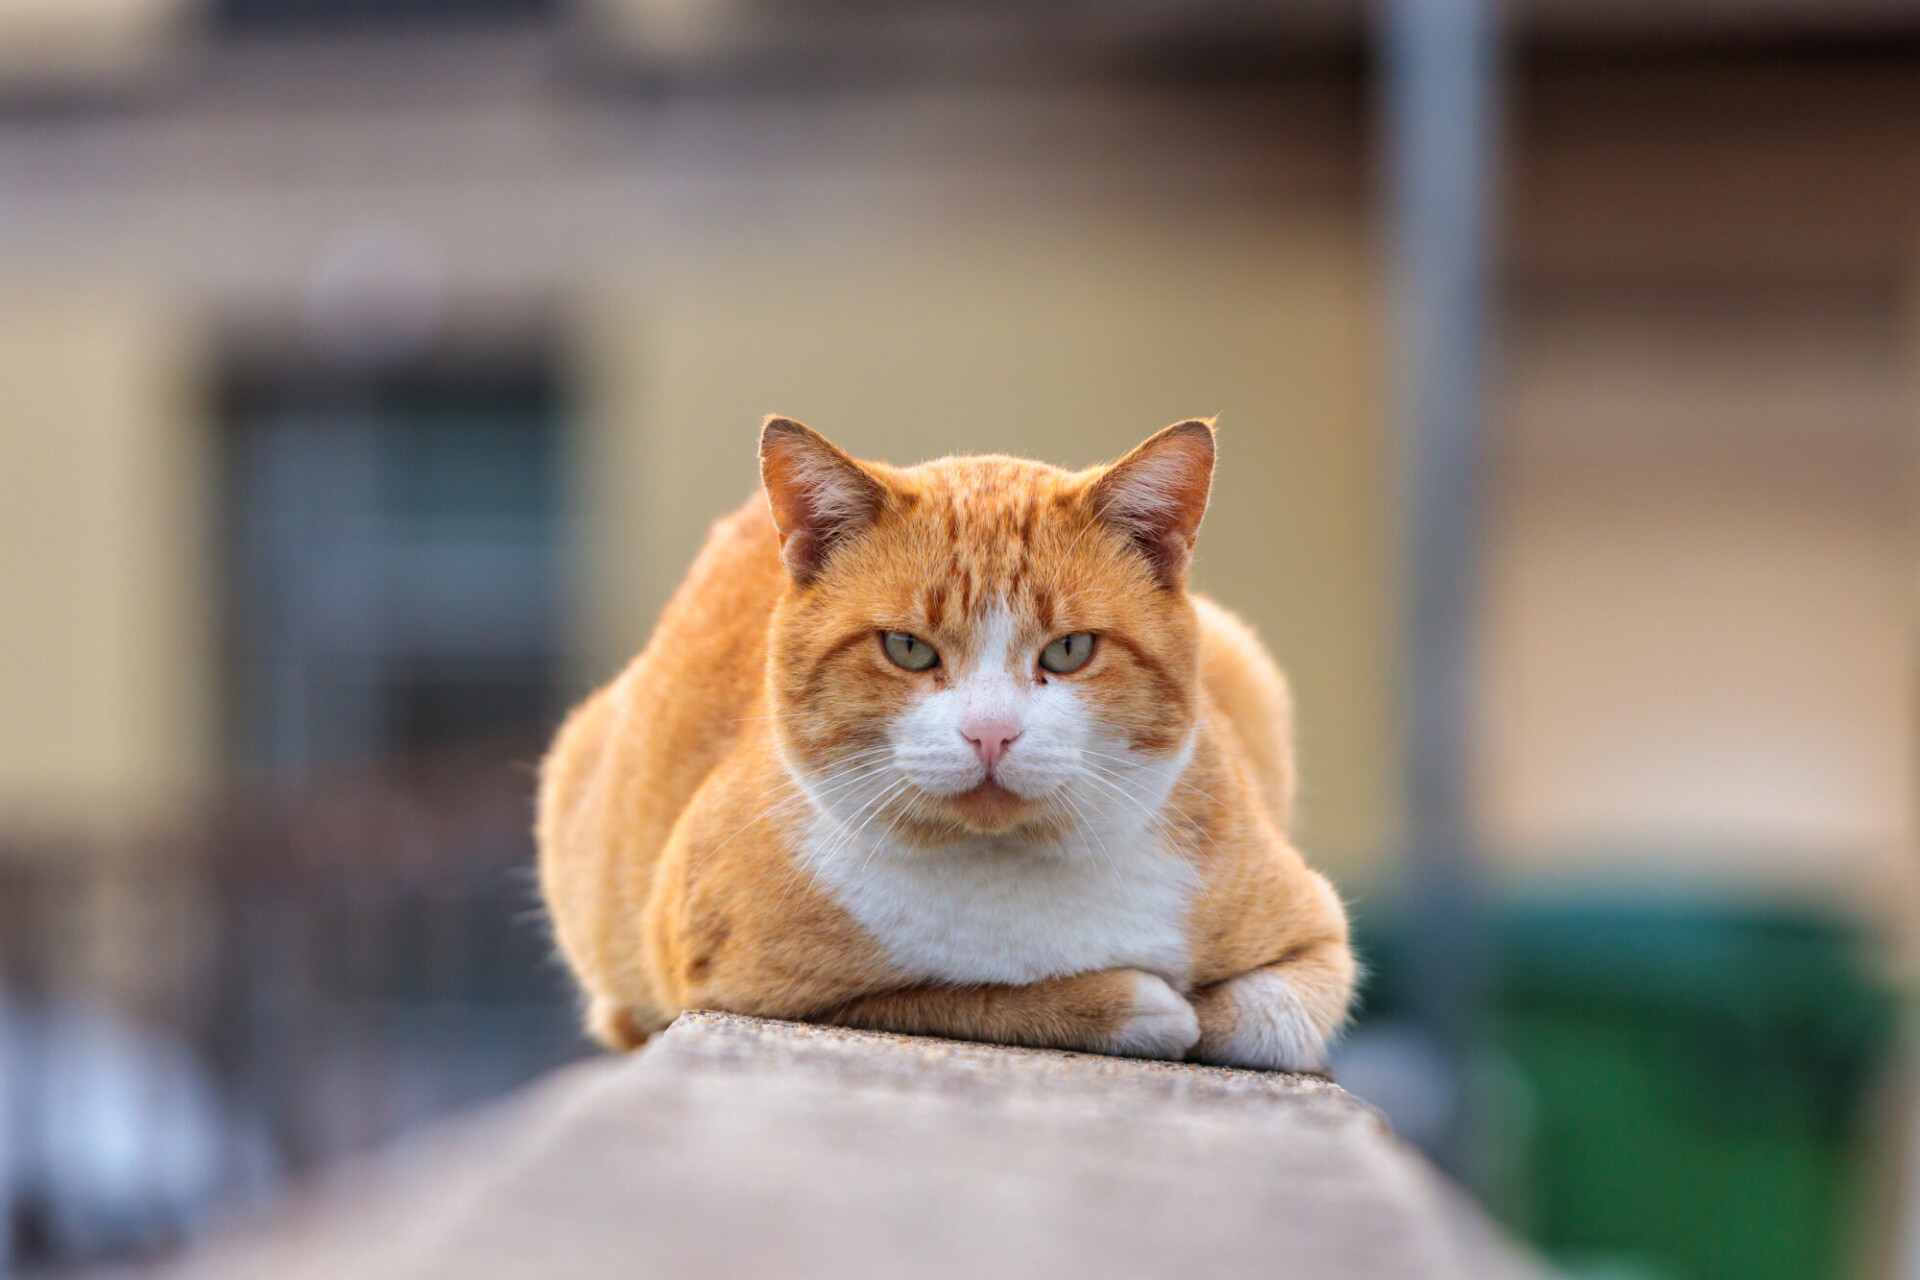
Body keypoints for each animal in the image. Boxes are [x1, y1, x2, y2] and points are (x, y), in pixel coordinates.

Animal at [533, 416, 1359, 1066]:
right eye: (907, 648)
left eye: (1069, 650)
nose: (990, 733)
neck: (1008, 875)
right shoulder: (742, 982)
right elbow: (962, 995)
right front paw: (1132, 1005)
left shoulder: (1319, 937)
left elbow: (1264, 1020)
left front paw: (1200, 1012)